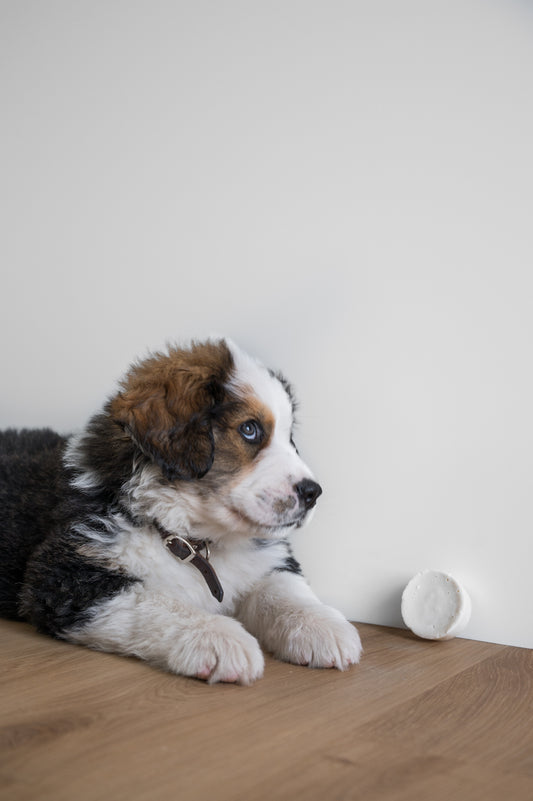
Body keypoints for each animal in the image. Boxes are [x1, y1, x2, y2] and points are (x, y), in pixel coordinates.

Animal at [0, 338, 362, 680]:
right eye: (250, 429)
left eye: (290, 438)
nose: (312, 493)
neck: (194, 537)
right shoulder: (64, 577)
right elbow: (155, 601)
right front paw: (218, 637)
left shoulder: (267, 558)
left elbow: (282, 588)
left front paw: (319, 624)